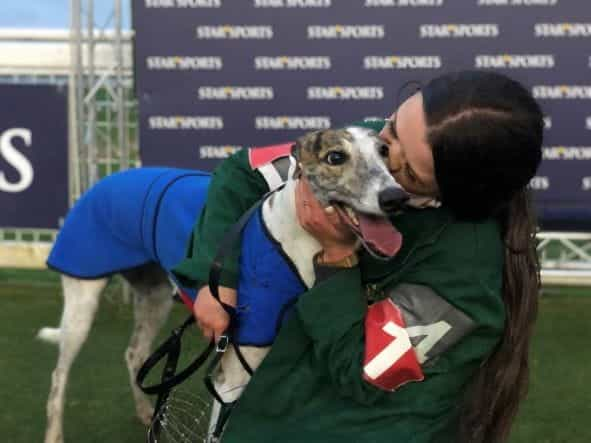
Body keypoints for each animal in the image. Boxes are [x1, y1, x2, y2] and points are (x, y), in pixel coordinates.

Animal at [40, 126, 412, 443]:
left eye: (384, 150)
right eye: (335, 157)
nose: (395, 198)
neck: (296, 240)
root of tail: (107, 177)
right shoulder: (234, 373)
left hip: (155, 296)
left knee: (135, 354)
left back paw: (148, 414)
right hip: (82, 298)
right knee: (58, 375)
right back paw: (54, 433)